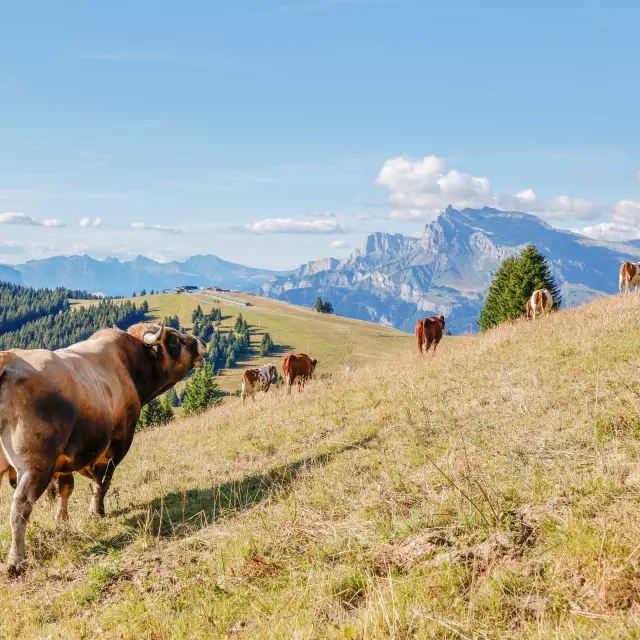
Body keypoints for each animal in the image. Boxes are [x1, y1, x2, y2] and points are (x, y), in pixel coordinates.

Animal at [0, 322, 205, 576]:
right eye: (175, 339)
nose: (201, 342)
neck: (129, 366)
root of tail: (7, 359)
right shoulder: (117, 444)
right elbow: (102, 482)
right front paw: (96, 512)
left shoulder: (64, 460)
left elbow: (65, 489)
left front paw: (62, 520)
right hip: (35, 467)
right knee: (20, 507)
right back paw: (16, 561)